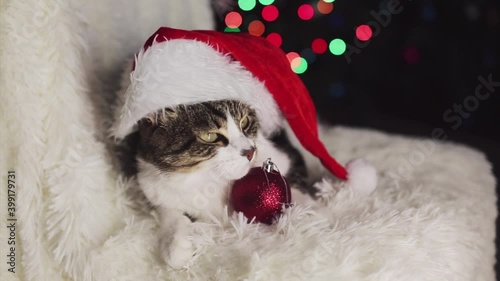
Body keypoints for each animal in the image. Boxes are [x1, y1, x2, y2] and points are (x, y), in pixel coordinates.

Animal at [122, 99, 314, 268]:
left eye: (245, 122)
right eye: (210, 136)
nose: (250, 151)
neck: (210, 178)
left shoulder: (285, 156)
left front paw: (307, 208)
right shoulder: (150, 182)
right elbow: (167, 209)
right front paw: (175, 246)